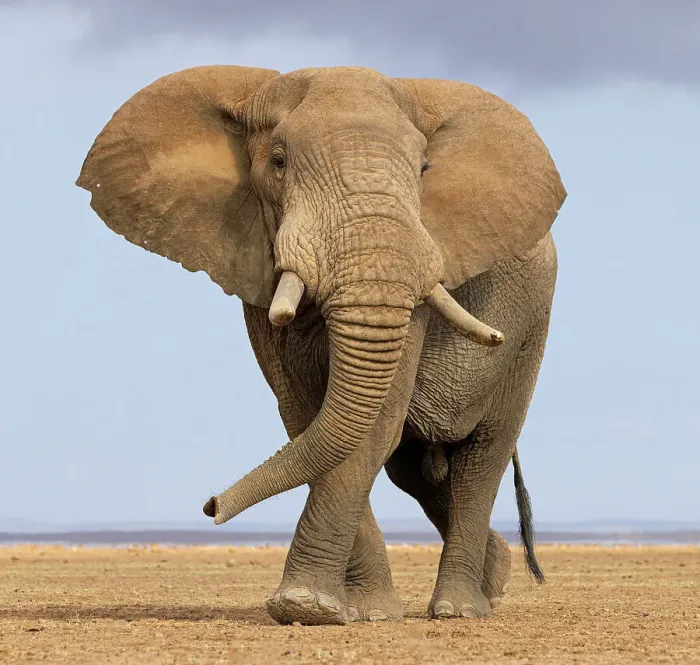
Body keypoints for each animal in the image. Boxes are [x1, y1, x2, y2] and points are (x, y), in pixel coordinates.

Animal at [77, 65, 566, 626]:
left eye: (424, 168)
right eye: (278, 161)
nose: (210, 506)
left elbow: (373, 425)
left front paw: (309, 607)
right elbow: (306, 418)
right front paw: (355, 612)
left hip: (530, 329)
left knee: (481, 455)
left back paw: (460, 610)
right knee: (412, 470)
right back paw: (495, 579)